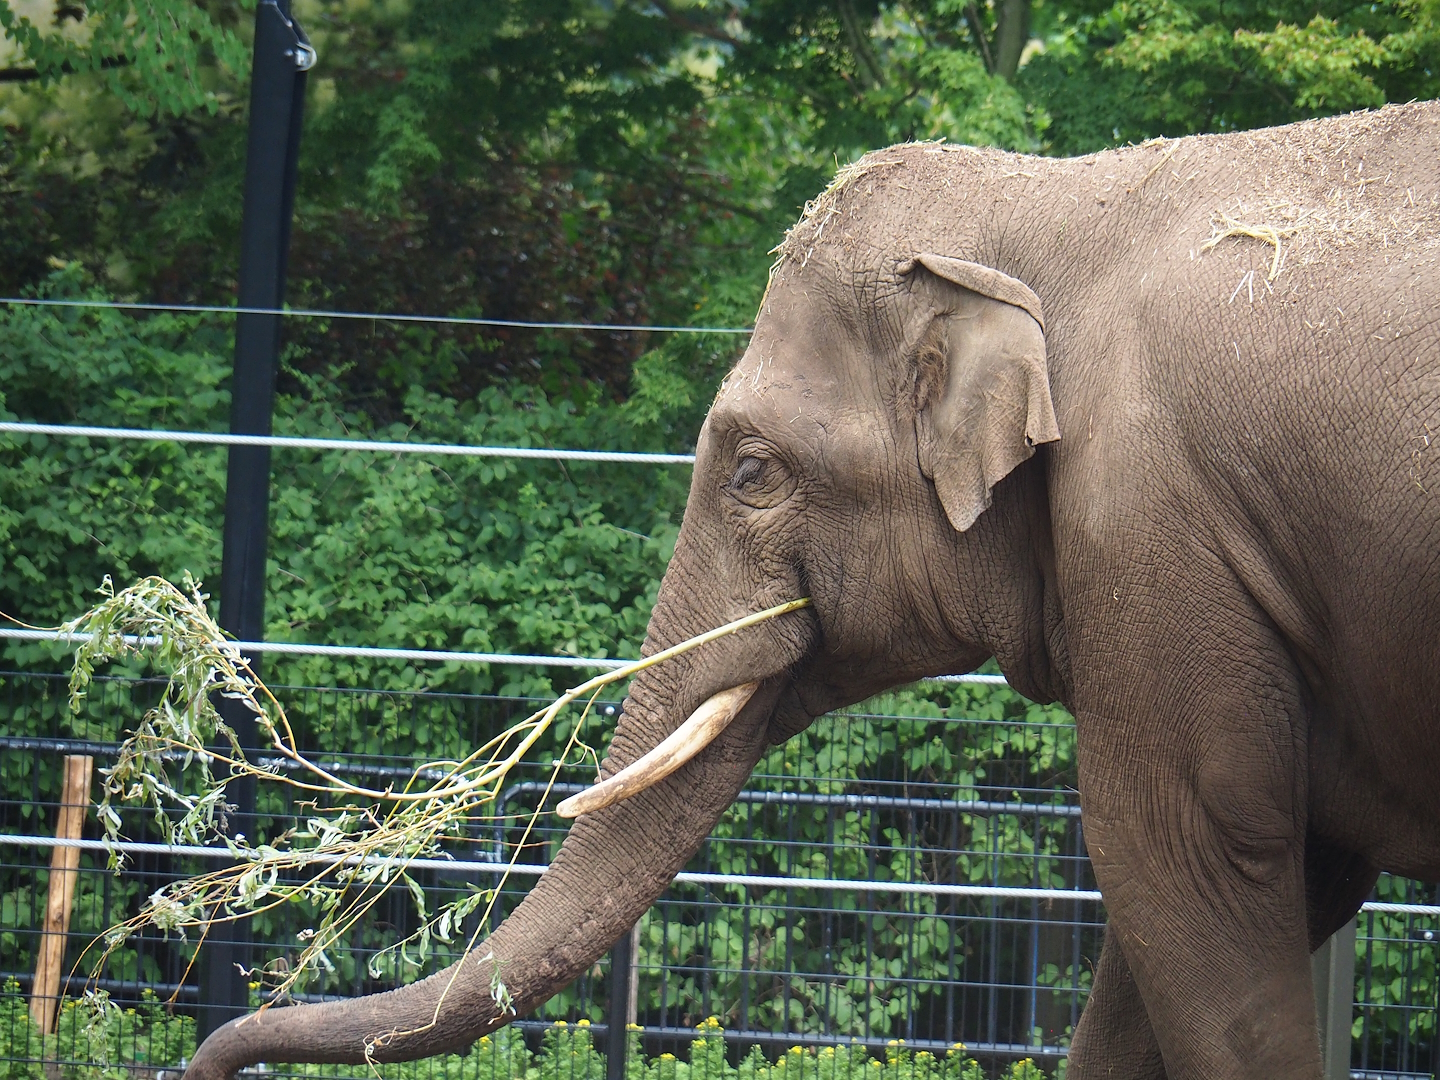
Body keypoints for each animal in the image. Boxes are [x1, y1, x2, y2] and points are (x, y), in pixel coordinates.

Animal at [184, 100, 1440, 1080]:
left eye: (751, 472)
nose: (206, 1059)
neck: (1057, 196)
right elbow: (1218, 906)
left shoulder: (1150, 530)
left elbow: (1199, 863)